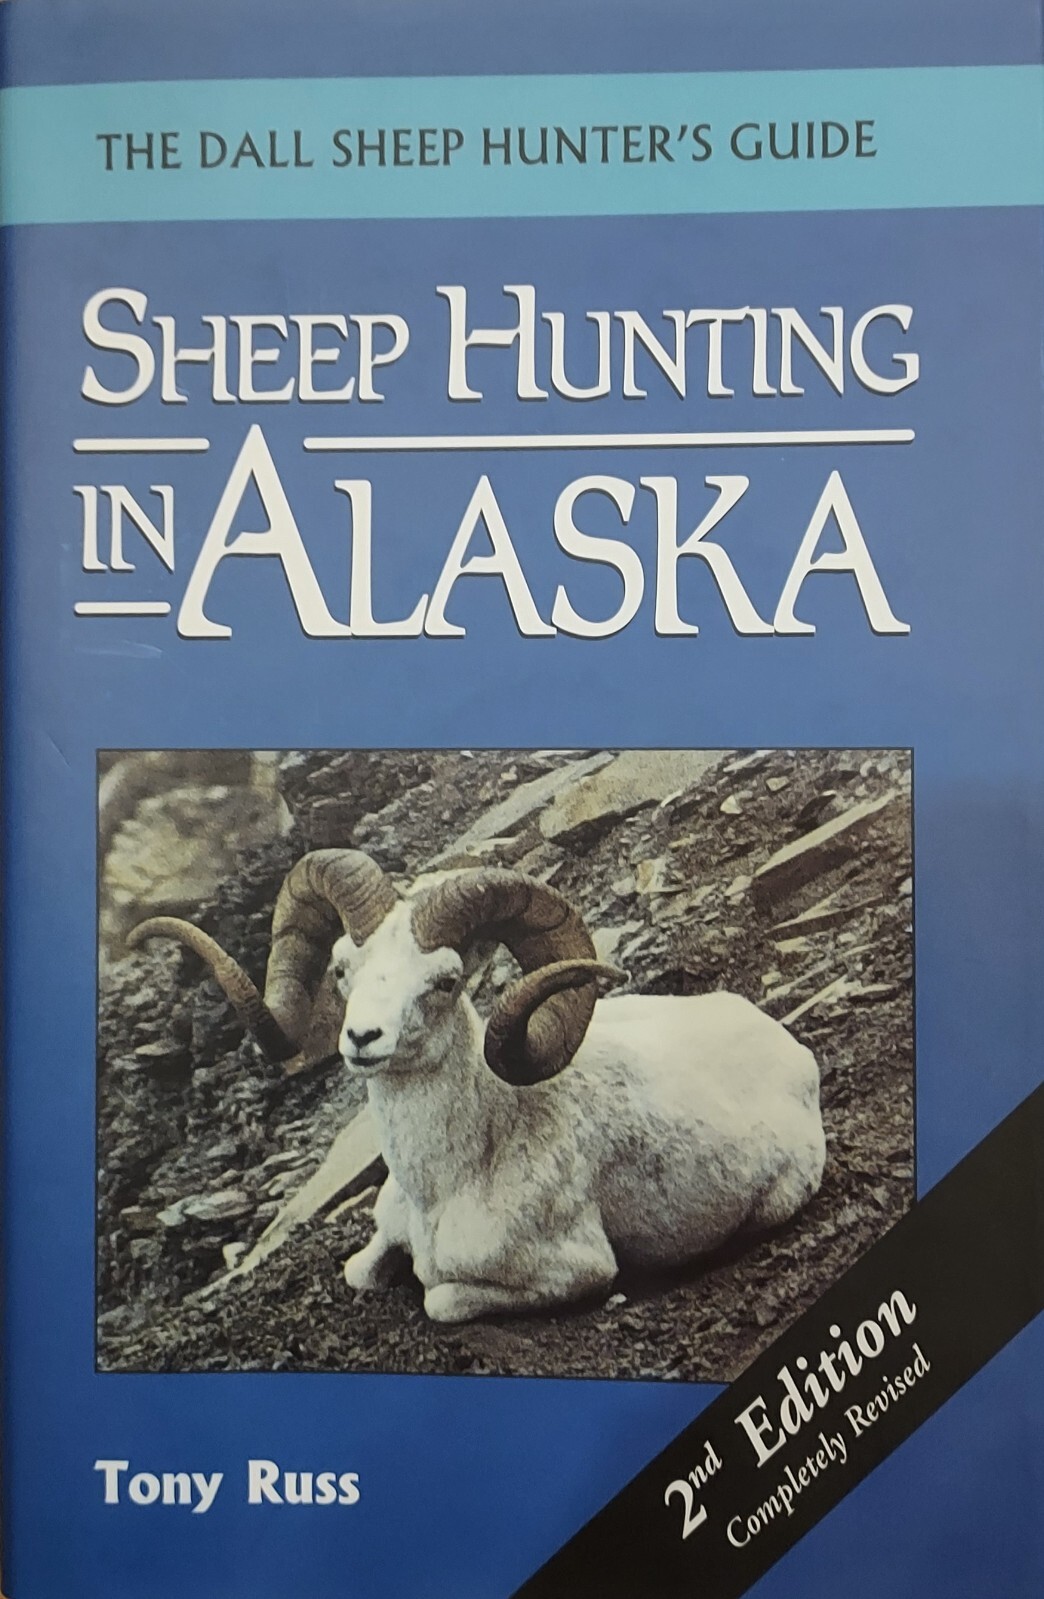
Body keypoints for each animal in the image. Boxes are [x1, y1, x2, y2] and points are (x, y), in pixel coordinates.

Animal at [129, 849, 826, 1325]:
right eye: (343, 970)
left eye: (444, 981)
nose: (362, 1038)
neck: (447, 1183)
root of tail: (784, 1045)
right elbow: (360, 1271)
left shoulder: (573, 1272)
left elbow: (437, 1299)